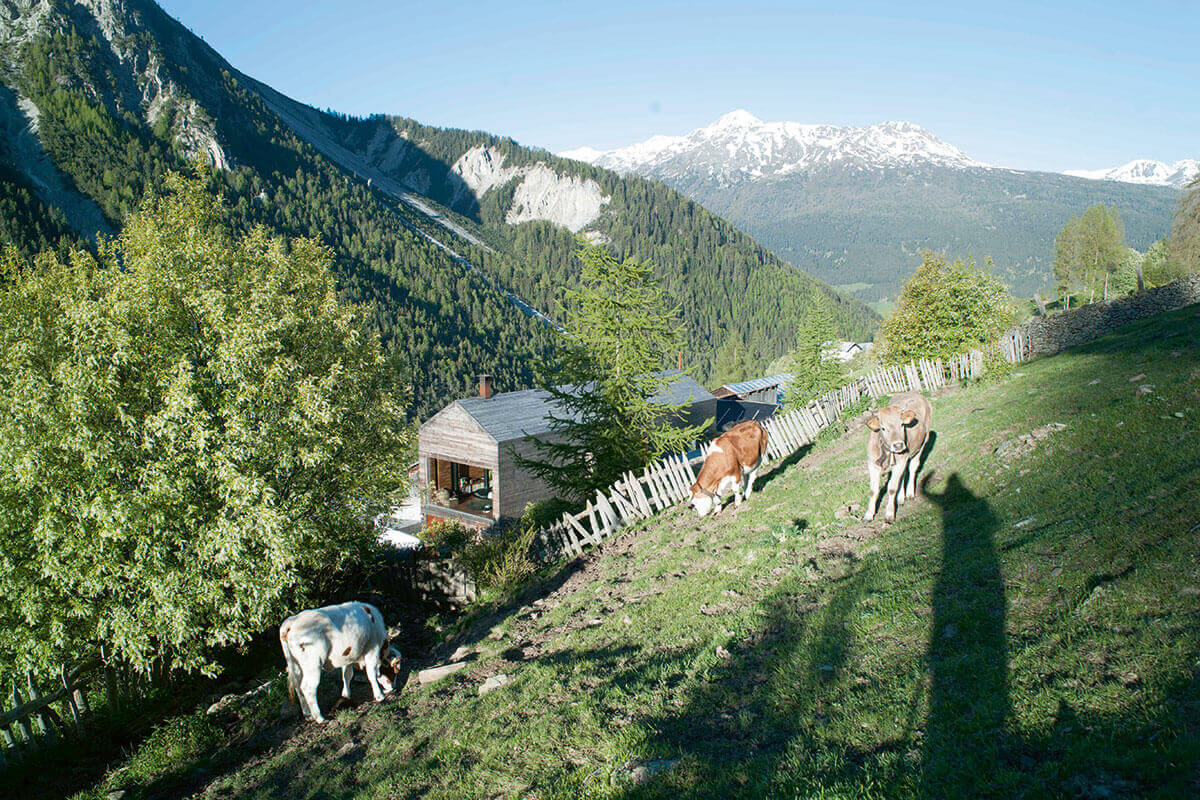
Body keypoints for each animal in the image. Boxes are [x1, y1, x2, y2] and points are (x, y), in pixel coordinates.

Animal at [864, 388, 936, 525]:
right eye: (883, 428)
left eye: (902, 425)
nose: (898, 445)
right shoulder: (872, 465)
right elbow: (873, 490)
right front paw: (868, 515)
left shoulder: (901, 461)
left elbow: (892, 488)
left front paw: (889, 515)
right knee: (903, 475)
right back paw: (901, 498)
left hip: (923, 442)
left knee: (912, 468)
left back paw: (909, 494)